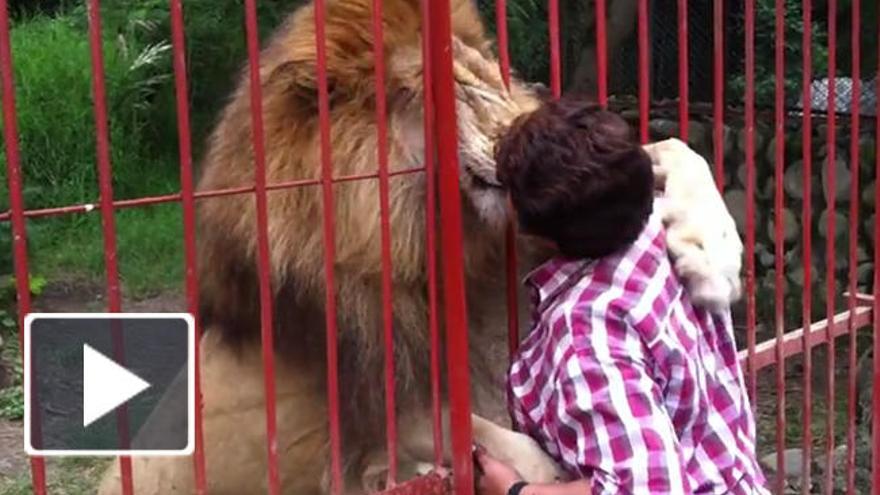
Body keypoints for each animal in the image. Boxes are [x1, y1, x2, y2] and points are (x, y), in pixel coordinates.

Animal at [96, 0, 744, 492]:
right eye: (430, 97)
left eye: (483, 79)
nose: (527, 133)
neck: (429, 231)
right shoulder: (365, 390)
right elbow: (456, 422)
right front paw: (540, 466)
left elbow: (677, 147)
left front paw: (712, 260)